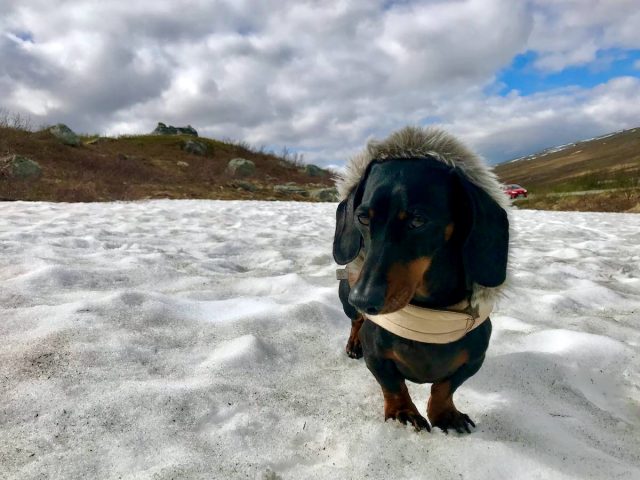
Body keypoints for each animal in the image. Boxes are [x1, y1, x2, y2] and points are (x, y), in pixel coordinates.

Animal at [332, 125, 508, 434]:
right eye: (362, 218)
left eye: (417, 220)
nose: (362, 298)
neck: (429, 318)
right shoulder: (377, 358)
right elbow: (393, 385)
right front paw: (404, 413)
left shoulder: (475, 357)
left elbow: (445, 386)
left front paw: (446, 414)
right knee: (355, 322)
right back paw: (353, 343)